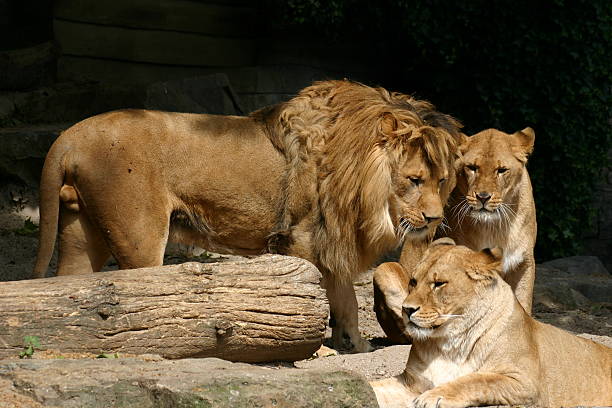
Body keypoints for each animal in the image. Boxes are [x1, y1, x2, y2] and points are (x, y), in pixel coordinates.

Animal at [33, 80, 462, 354]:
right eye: (413, 179)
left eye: (442, 180)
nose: (434, 218)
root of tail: (69, 136)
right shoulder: (304, 237)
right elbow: (321, 298)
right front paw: (318, 348)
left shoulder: (331, 239)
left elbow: (345, 300)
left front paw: (354, 345)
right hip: (140, 236)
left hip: (81, 233)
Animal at [370, 239, 608, 408]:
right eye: (413, 281)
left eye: (439, 284)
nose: (406, 309)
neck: (448, 343)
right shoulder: (410, 383)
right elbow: (376, 389)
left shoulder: (525, 382)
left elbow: (477, 380)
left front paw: (434, 397)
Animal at [372, 128, 536, 344]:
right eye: (472, 168)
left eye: (501, 170)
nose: (483, 197)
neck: (495, 225)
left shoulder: (524, 262)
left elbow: (523, 301)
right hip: (384, 269)